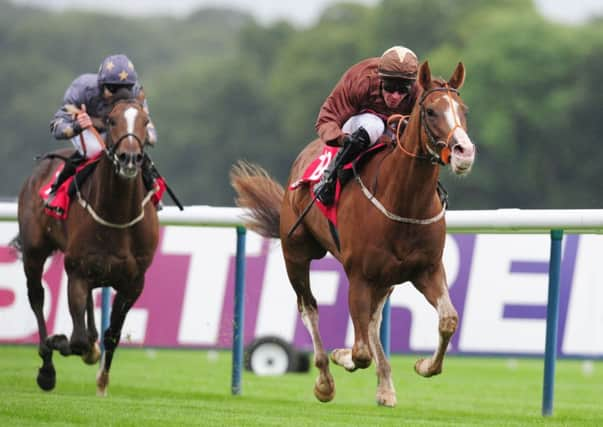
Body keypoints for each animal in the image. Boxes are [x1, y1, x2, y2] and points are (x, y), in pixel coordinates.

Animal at [13, 98, 159, 396]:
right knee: (37, 297)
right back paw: (47, 367)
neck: (118, 216)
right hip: (34, 253)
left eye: (145, 121)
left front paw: (102, 380)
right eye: (112, 120)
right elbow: (77, 340)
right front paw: (58, 342)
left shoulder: (134, 282)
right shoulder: (78, 271)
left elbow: (111, 334)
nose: (129, 158)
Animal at [232, 61, 476, 408]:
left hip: (386, 278)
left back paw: (385, 387)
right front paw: (341, 356)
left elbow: (448, 320)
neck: (403, 199)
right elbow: (360, 351)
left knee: (373, 321)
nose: (464, 151)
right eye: (430, 111)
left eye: (462, 109)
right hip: (296, 253)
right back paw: (324, 379)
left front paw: (424, 365)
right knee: (309, 308)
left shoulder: (426, 269)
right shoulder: (359, 275)